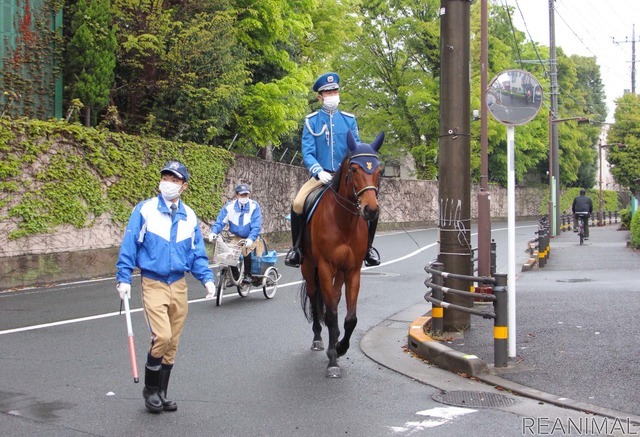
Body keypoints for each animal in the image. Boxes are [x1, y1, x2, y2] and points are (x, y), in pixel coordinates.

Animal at [300, 131, 384, 376]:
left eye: (380, 170)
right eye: (354, 169)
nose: (371, 210)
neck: (343, 220)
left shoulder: (353, 270)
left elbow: (350, 318)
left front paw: (340, 347)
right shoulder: (325, 267)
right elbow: (330, 314)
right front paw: (332, 359)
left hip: (340, 272)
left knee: (334, 299)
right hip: (309, 268)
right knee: (315, 298)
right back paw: (319, 339)